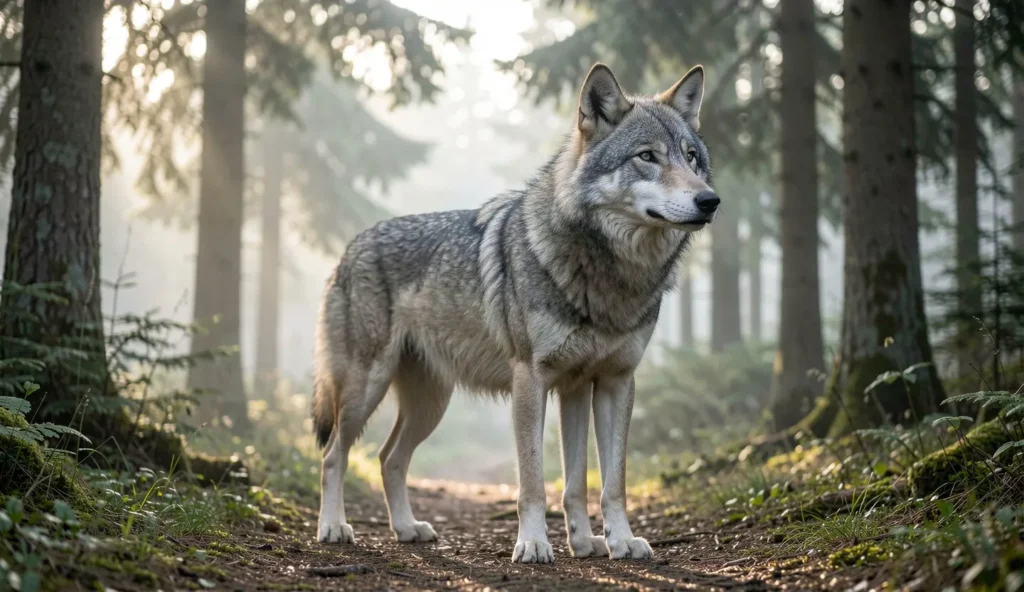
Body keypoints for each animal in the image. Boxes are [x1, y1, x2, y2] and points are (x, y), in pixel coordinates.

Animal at [311, 63, 718, 563]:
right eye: (647, 156)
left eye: (692, 157)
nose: (710, 200)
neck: (606, 275)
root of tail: (352, 247)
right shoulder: (532, 379)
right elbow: (533, 482)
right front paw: (534, 543)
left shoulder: (604, 384)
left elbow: (600, 483)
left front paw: (607, 542)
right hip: (365, 390)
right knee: (334, 453)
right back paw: (333, 527)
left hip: (430, 404)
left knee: (390, 458)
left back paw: (407, 529)